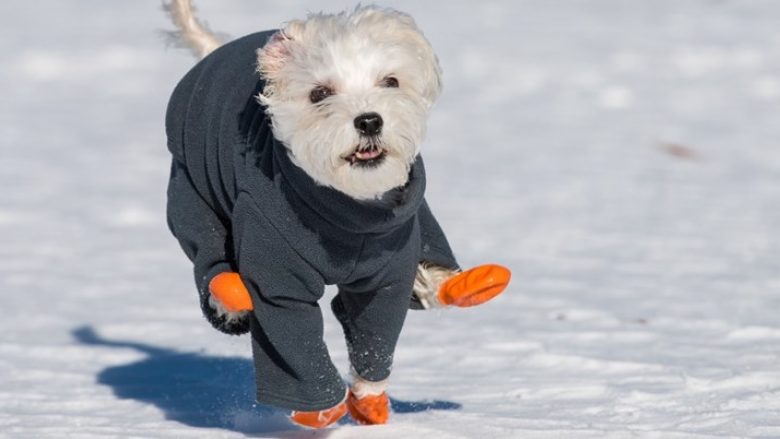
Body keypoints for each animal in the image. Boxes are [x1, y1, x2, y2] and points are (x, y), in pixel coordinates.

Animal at [163, 0, 512, 426]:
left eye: (390, 81)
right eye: (320, 93)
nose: (369, 120)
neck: (349, 215)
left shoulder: (388, 273)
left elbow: (375, 336)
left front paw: (369, 402)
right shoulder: (278, 277)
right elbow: (292, 338)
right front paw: (321, 410)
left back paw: (461, 284)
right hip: (192, 199)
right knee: (209, 255)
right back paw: (228, 297)